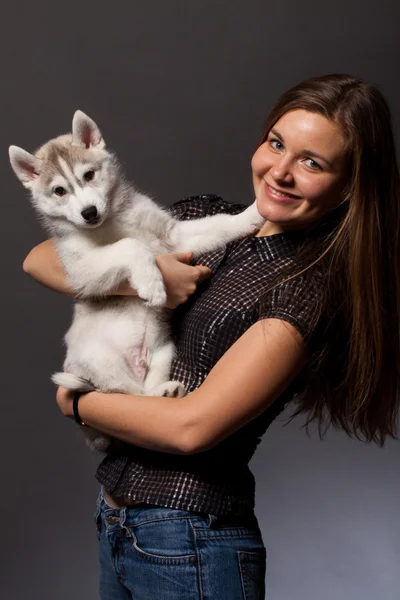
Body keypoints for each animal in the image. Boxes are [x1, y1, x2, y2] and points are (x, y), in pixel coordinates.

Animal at [7, 111, 264, 450]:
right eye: (59, 191)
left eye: (89, 175)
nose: (89, 212)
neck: (115, 219)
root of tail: (137, 364)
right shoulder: (80, 267)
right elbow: (130, 245)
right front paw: (152, 284)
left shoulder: (175, 236)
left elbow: (219, 224)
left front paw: (251, 215)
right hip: (101, 361)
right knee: (130, 397)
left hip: (164, 351)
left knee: (146, 401)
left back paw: (164, 391)